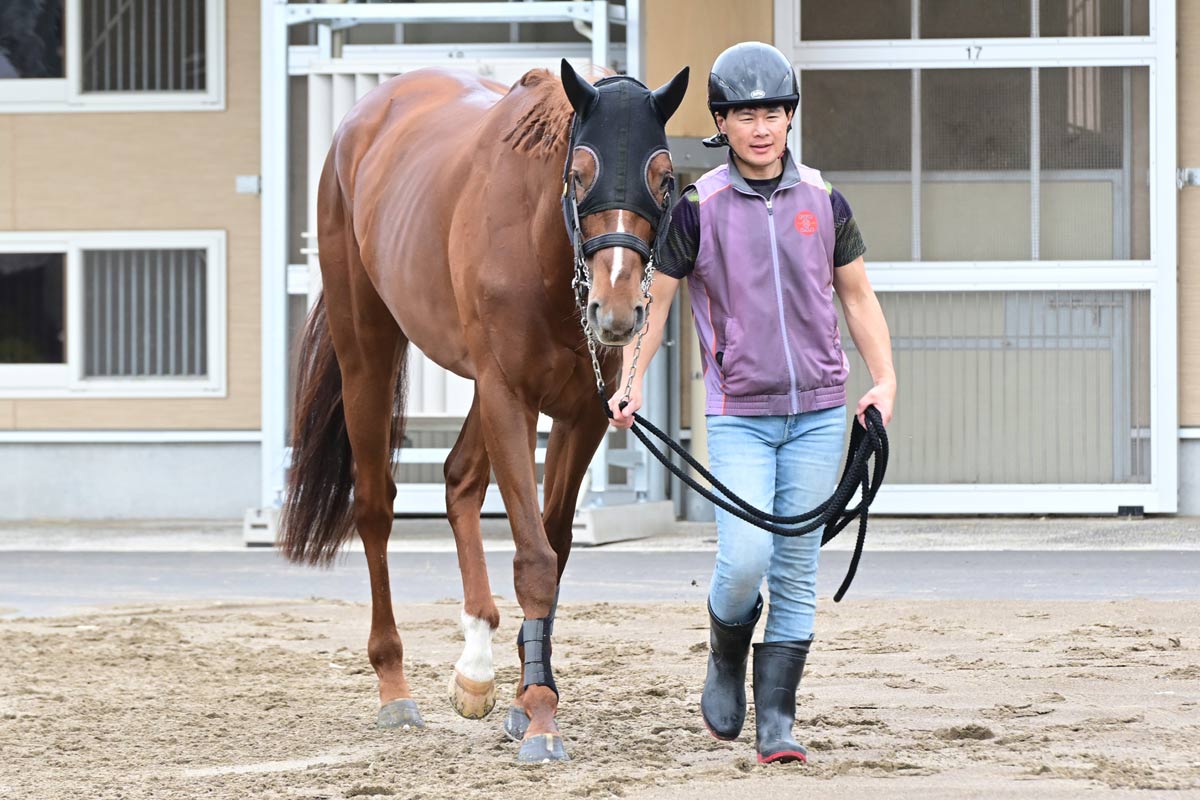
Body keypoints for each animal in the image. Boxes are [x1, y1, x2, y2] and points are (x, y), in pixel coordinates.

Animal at [279, 60, 689, 763]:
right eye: (578, 175)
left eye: (662, 178)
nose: (615, 311)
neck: (541, 243)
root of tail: (366, 117)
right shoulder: (508, 395)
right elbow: (533, 559)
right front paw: (543, 718)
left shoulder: (580, 414)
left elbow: (553, 548)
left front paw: (528, 696)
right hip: (369, 351)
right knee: (376, 507)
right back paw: (394, 689)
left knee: (460, 480)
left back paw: (475, 665)